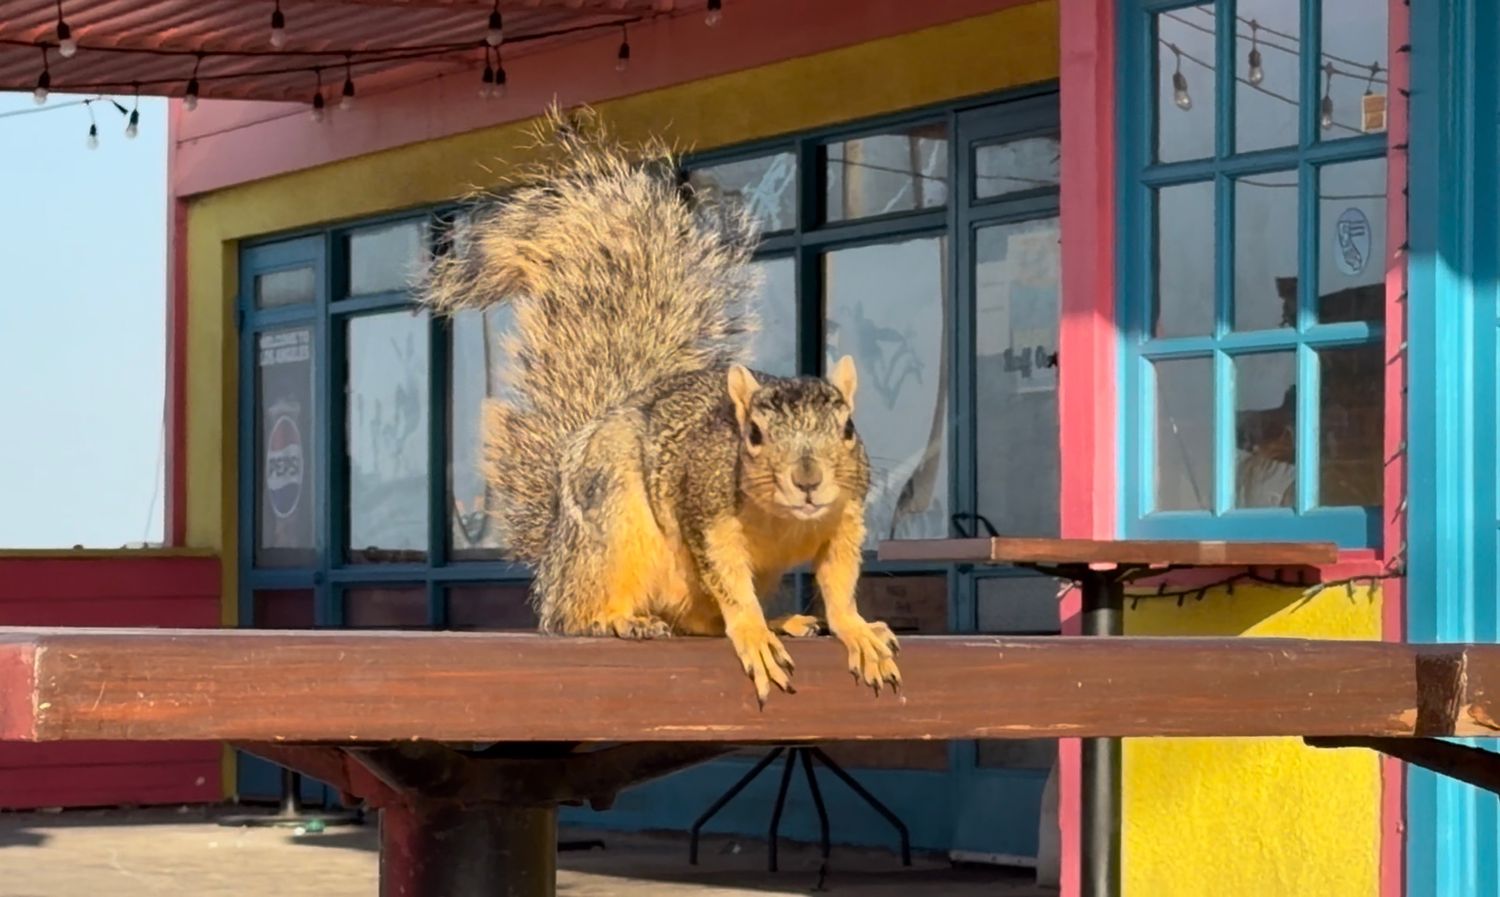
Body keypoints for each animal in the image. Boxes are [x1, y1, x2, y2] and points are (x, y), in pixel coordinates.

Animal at [421, 107, 900, 704]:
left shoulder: (845, 515)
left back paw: (781, 620)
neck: (786, 519)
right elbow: (730, 582)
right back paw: (615, 619)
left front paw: (855, 630)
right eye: (754, 435)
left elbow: (838, 582)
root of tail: (555, 556)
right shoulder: (706, 511)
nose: (808, 480)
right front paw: (752, 631)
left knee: (698, 621)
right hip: (613, 521)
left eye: (849, 428)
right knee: (573, 615)